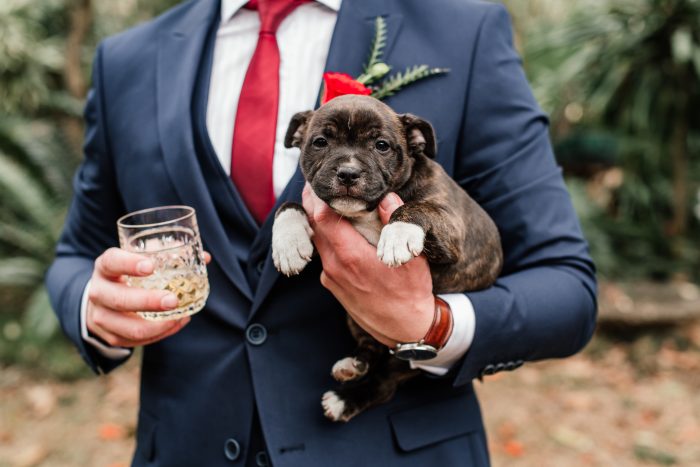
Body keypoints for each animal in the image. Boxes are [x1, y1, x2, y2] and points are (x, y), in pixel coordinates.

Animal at [270, 95, 504, 424]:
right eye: (320, 142)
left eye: (381, 145)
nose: (348, 172)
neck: (366, 212)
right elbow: (290, 206)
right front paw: (288, 243)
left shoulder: (450, 226)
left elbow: (415, 207)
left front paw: (397, 235)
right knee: (371, 349)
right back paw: (353, 365)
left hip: (404, 355)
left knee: (384, 385)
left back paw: (345, 399)